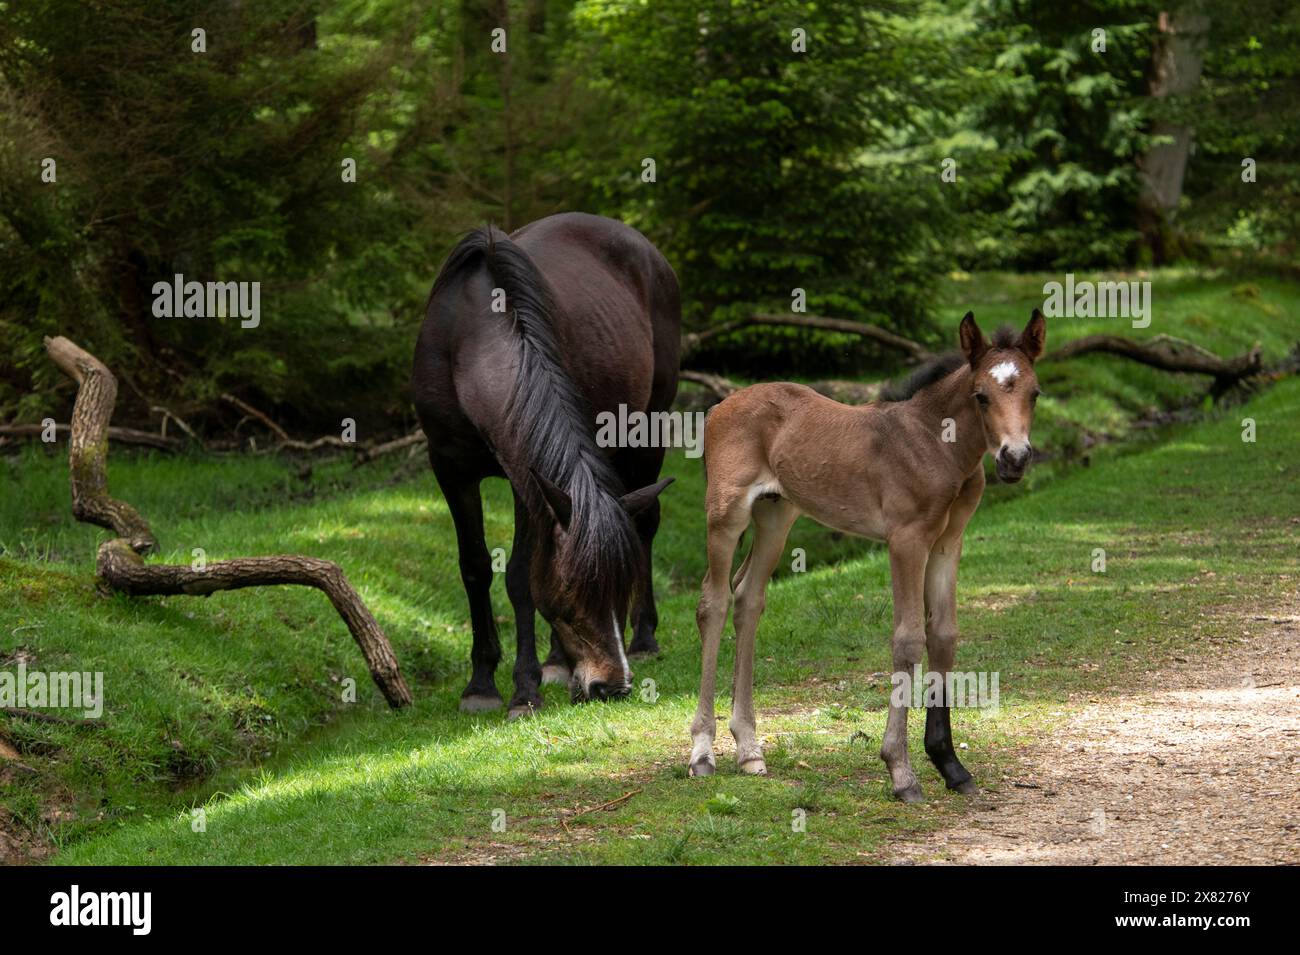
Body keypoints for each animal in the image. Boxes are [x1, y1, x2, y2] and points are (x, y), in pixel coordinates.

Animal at [413, 210, 681, 717]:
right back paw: (558, 662)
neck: (468, 339)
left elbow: (520, 577)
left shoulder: (524, 480)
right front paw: (482, 684)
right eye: (573, 592)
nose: (612, 686)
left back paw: (643, 638)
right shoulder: (450, 469)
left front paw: (524, 689)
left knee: (646, 522)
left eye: (620, 590)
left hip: (649, 427)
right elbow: (476, 566)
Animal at [691, 311, 1045, 800]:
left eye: (1035, 393)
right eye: (981, 396)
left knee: (748, 598)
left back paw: (749, 750)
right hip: (725, 515)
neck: (934, 443)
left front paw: (951, 765)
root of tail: (719, 406)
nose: (1014, 459)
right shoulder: (906, 540)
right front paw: (901, 770)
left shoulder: (948, 541)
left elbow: (944, 635)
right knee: (714, 603)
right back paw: (702, 752)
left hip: (776, 516)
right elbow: (908, 639)